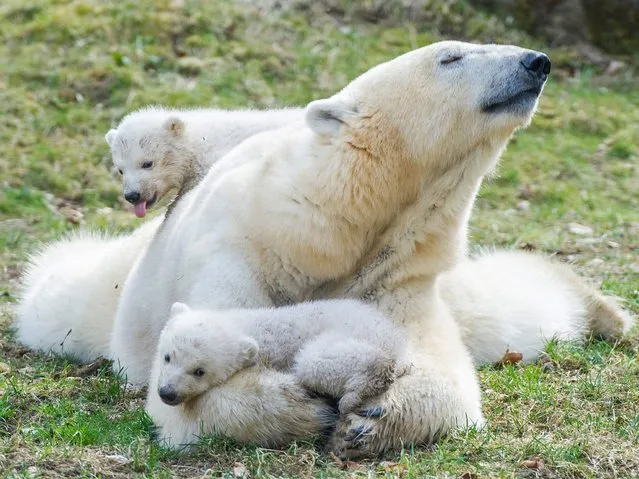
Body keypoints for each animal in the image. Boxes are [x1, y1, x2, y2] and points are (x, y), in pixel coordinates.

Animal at [152, 302, 408, 414]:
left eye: (199, 371)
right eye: (167, 357)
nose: (167, 393)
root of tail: (396, 339)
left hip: (350, 333)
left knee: (313, 361)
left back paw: (352, 397)